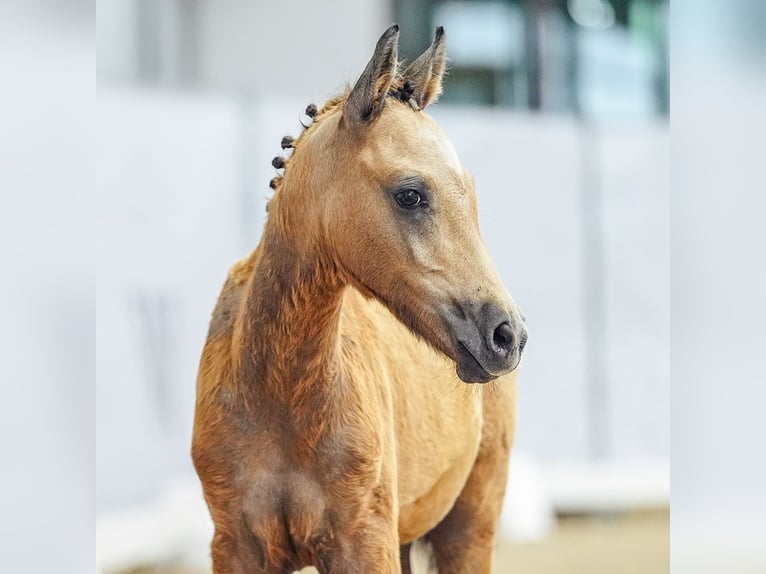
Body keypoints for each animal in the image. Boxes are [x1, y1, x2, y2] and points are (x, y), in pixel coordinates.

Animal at [192, 23, 528, 574]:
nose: (508, 335)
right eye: (410, 194)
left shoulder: (365, 542)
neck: (277, 397)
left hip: (470, 526)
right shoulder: (236, 548)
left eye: (473, 195)